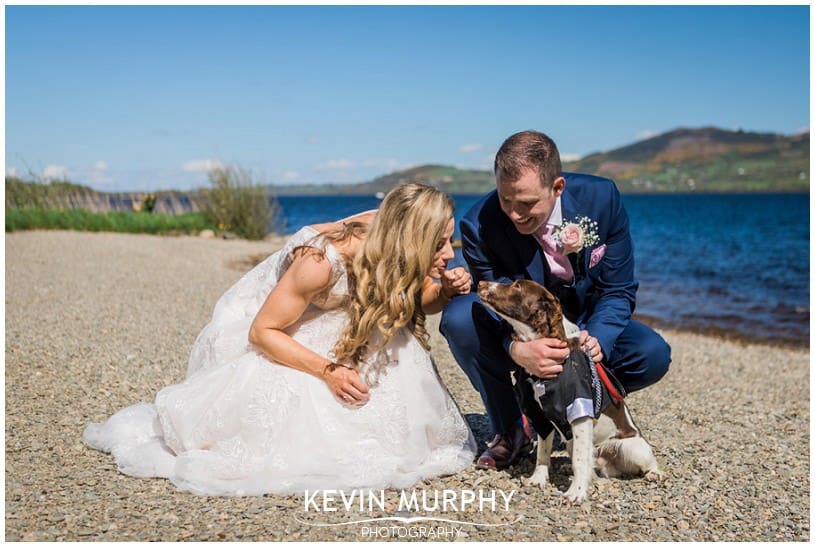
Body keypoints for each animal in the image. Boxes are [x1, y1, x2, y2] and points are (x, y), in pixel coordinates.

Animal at [478, 282, 664, 506]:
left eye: (517, 286)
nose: (480, 283)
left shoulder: (580, 413)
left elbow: (580, 460)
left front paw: (576, 492)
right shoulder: (539, 416)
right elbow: (543, 452)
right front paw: (538, 479)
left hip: (632, 448)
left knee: (644, 461)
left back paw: (655, 473)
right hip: (572, 443)